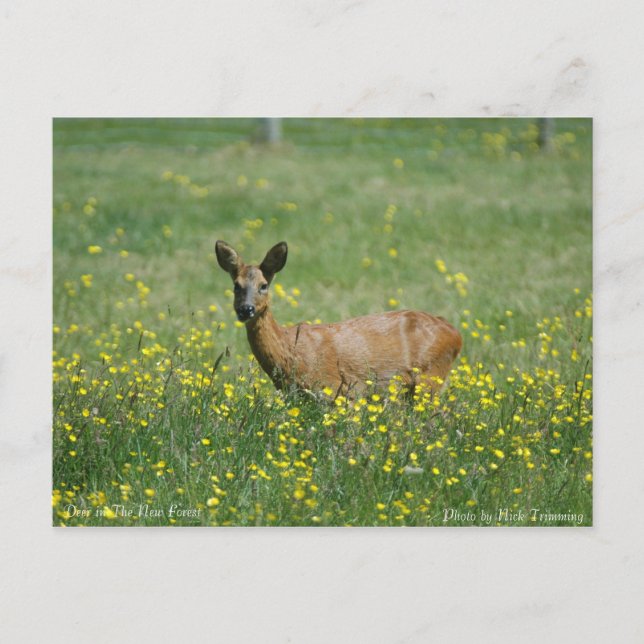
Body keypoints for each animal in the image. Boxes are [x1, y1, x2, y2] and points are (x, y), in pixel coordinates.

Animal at [215, 240, 462, 397]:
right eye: (236, 286)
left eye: (263, 285)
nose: (245, 309)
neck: (292, 353)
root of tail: (455, 333)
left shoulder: (341, 389)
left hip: (432, 375)